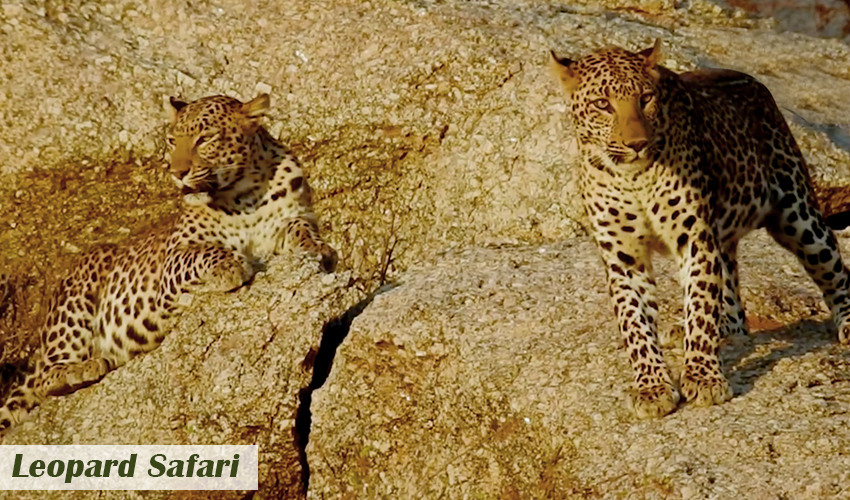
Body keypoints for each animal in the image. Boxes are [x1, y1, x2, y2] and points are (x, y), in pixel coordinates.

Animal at [0, 94, 338, 438]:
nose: (177, 171)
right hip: (80, 286)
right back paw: (81, 369)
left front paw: (319, 248)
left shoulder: (294, 216)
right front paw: (230, 267)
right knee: (46, 379)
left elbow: (300, 227)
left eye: (205, 139)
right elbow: (204, 251)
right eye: (172, 141)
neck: (246, 195)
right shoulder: (174, 259)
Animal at [548, 41, 850, 420]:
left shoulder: (694, 239)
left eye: (646, 98)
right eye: (603, 104)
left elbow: (702, 305)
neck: (633, 179)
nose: (637, 143)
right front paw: (652, 386)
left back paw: (848, 324)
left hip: (799, 217)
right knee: (734, 308)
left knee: (835, 272)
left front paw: (703, 377)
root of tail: (757, 85)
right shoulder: (623, 255)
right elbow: (635, 323)